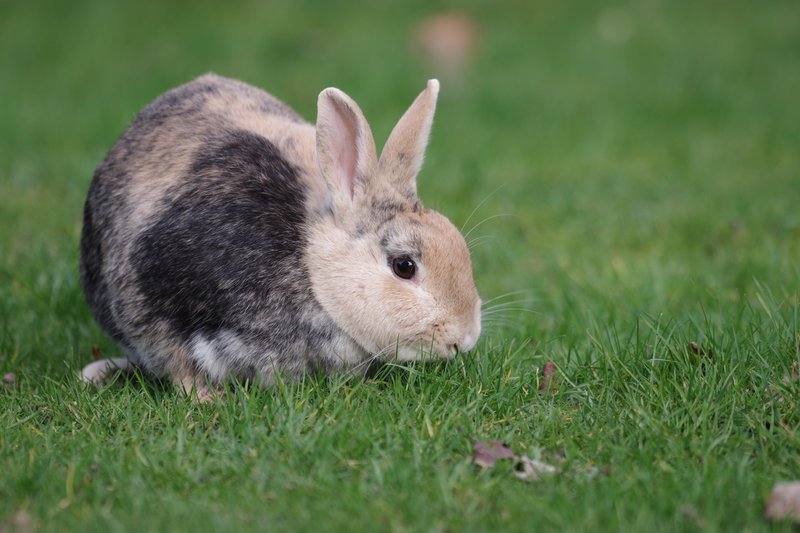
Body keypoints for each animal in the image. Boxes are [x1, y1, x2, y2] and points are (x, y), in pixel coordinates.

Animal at [79, 74, 482, 400]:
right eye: (404, 266)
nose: (464, 339)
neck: (312, 266)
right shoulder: (156, 301)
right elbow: (180, 366)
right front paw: (208, 400)